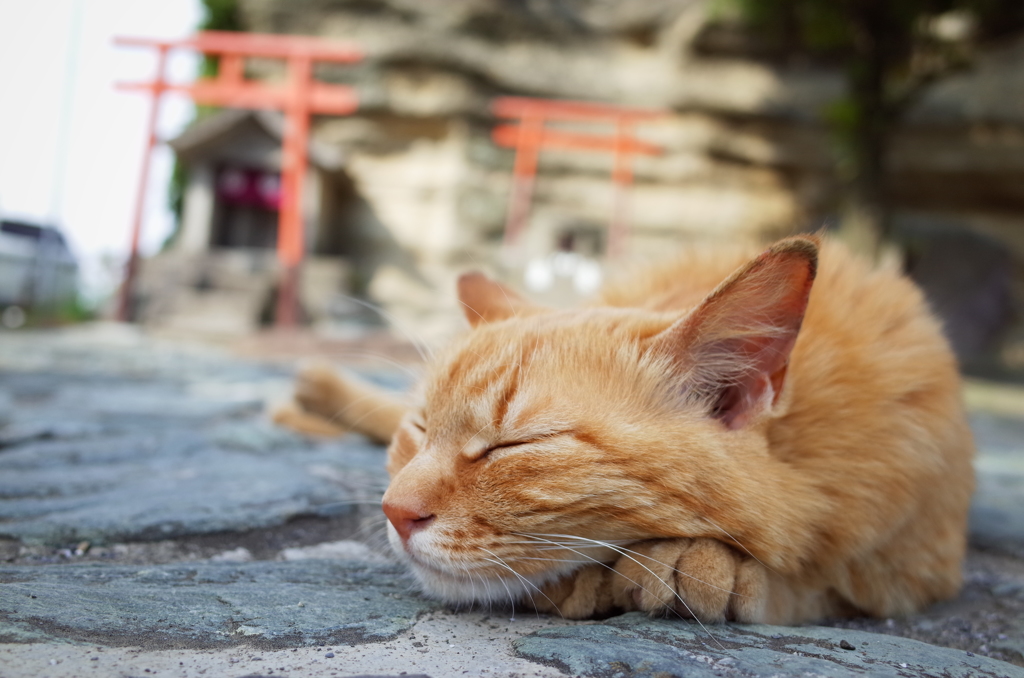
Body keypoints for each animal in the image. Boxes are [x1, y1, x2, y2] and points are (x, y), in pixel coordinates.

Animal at [278, 237, 974, 626]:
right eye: (419, 429)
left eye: (514, 445)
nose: (393, 512)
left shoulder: (906, 566)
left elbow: (805, 582)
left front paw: (700, 564)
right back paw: (312, 391)